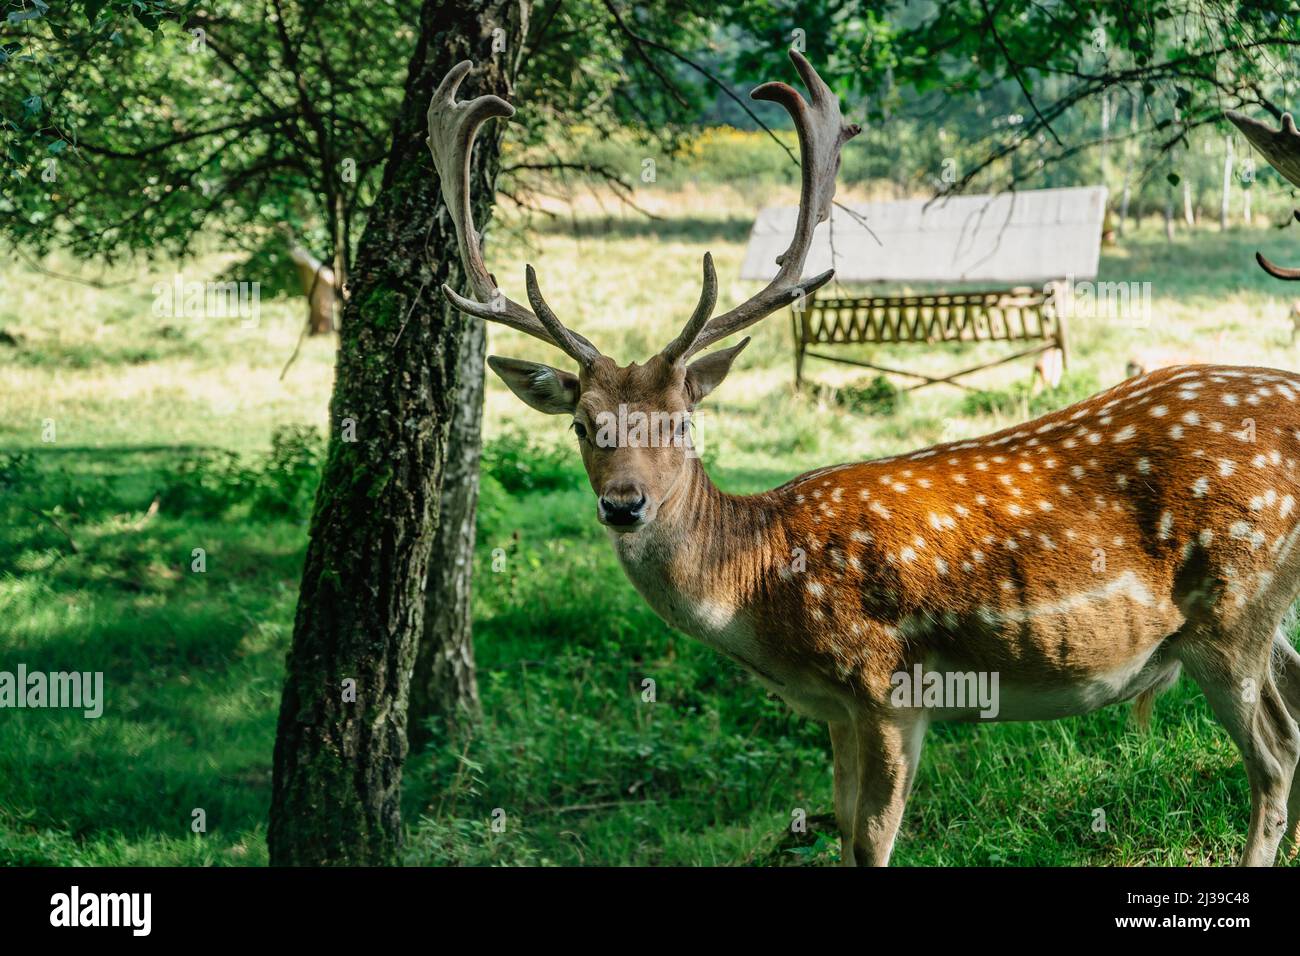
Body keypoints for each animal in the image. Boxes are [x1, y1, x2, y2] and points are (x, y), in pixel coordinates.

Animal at [429, 55, 1300, 866]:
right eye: (582, 423)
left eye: (682, 421)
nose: (623, 504)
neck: (761, 587)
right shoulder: (836, 712)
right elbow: (843, 827)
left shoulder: (886, 684)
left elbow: (872, 840)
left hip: (1232, 606)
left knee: (1276, 750)